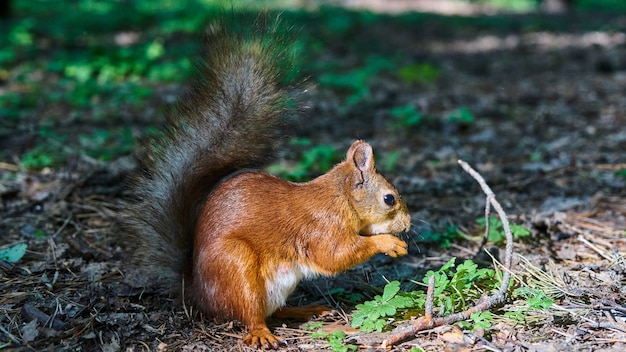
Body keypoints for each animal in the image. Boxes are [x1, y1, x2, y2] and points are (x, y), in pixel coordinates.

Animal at [123, 18, 412, 350]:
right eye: (389, 198)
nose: (408, 223)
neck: (339, 198)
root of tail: (198, 294)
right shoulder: (321, 227)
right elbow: (334, 255)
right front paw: (388, 243)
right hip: (237, 266)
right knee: (251, 314)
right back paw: (261, 333)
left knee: (275, 310)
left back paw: (308, 309)